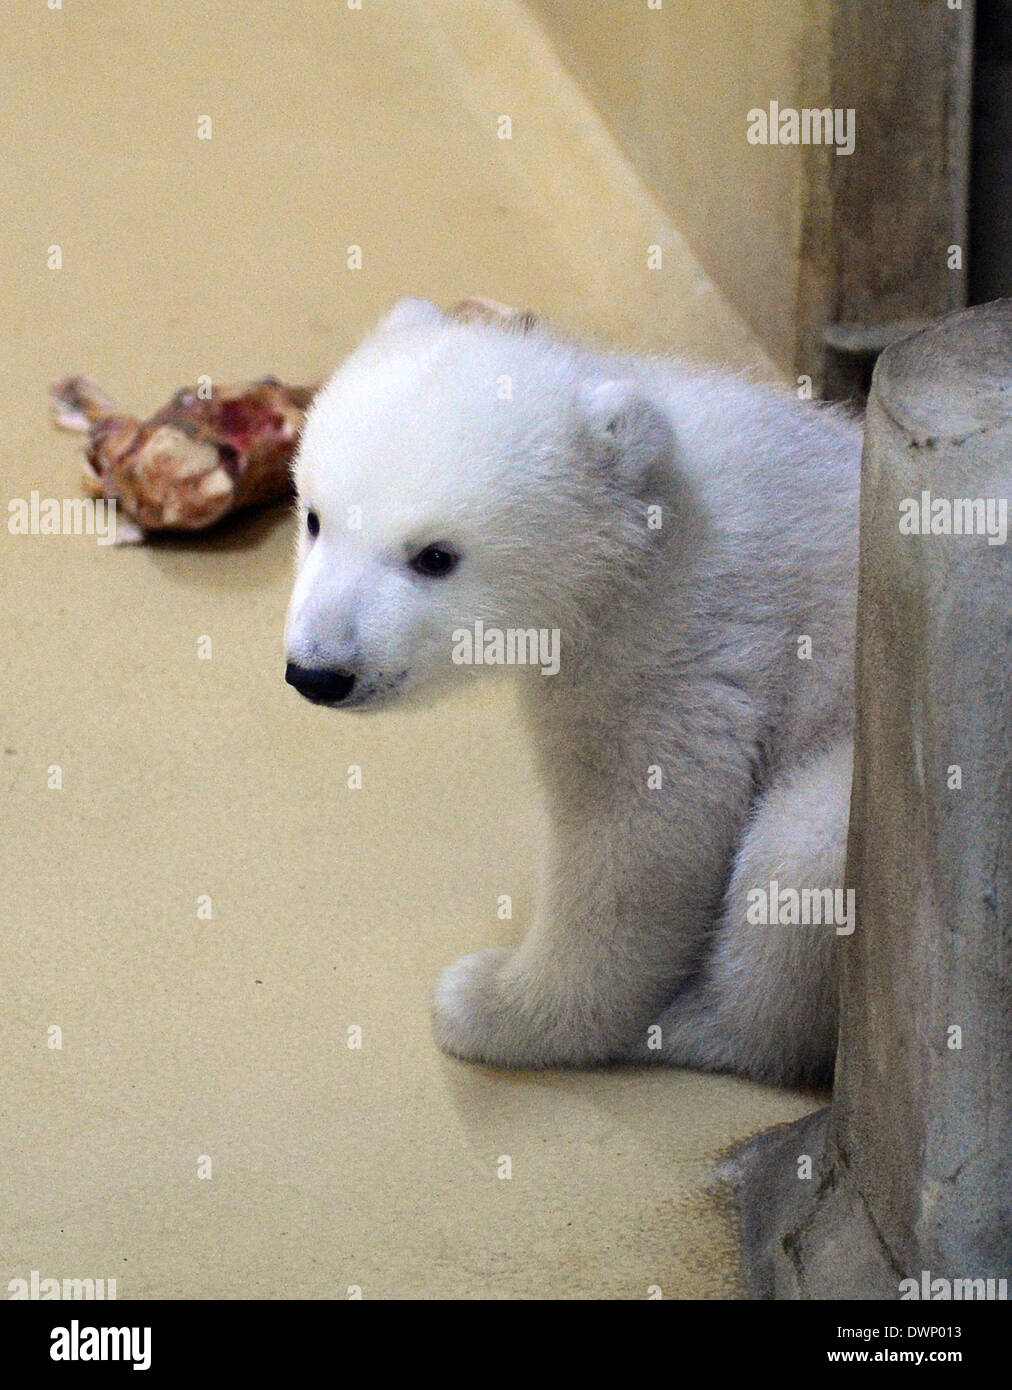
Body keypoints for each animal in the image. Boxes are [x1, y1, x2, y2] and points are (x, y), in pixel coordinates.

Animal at [284, 296, 861, 1085]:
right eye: (314, 516)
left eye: (435, 556)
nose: (317, 671)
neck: (649, 525)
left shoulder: (685, 642)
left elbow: (638, 842)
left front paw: (492, 1006)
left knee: (802, 849)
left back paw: (695, 1026)